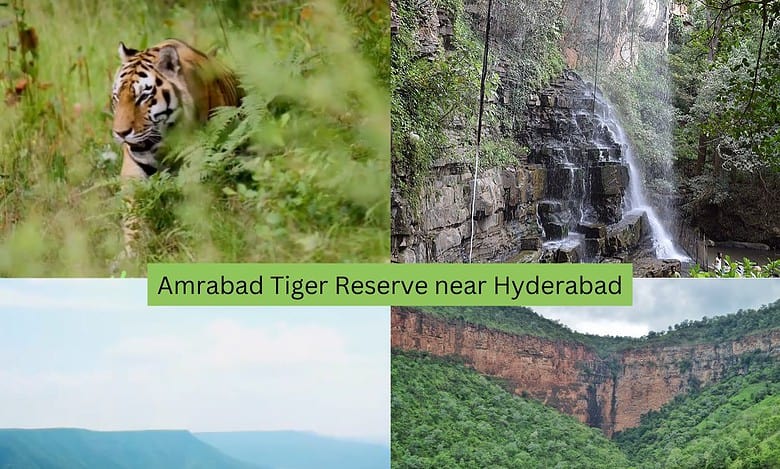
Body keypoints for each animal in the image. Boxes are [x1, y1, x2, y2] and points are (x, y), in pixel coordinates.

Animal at [110, 38, 243, 255]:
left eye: (142, 97)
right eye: (116, 97)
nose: (120, 133)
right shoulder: (134, 171)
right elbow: (133, 218)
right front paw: (132, 253)